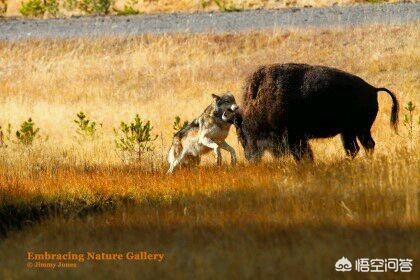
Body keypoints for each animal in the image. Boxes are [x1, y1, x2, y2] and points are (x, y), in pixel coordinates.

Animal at [231, 62, 398, 161]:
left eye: (241, 132)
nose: (249, 157)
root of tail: (373, 89)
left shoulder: (294, 137)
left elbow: (303, 154)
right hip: (349, 131)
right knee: (355, 148)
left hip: (360, 129)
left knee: (367, 145)